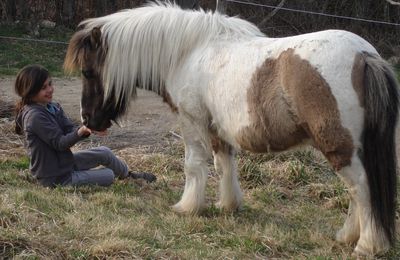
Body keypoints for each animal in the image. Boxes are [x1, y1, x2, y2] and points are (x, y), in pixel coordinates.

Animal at [63, 1, 400, 255]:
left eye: (88, 71)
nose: (87, 120)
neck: (188, 52)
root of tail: (364, 56)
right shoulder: (216, 129)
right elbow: (224, 164)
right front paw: (228, 205)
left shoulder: (192, 121)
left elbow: (194, 166)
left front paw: (187, 207)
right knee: (356, 192)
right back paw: (347, 236)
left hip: (339, 145)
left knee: (360, 188)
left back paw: (366, 245)